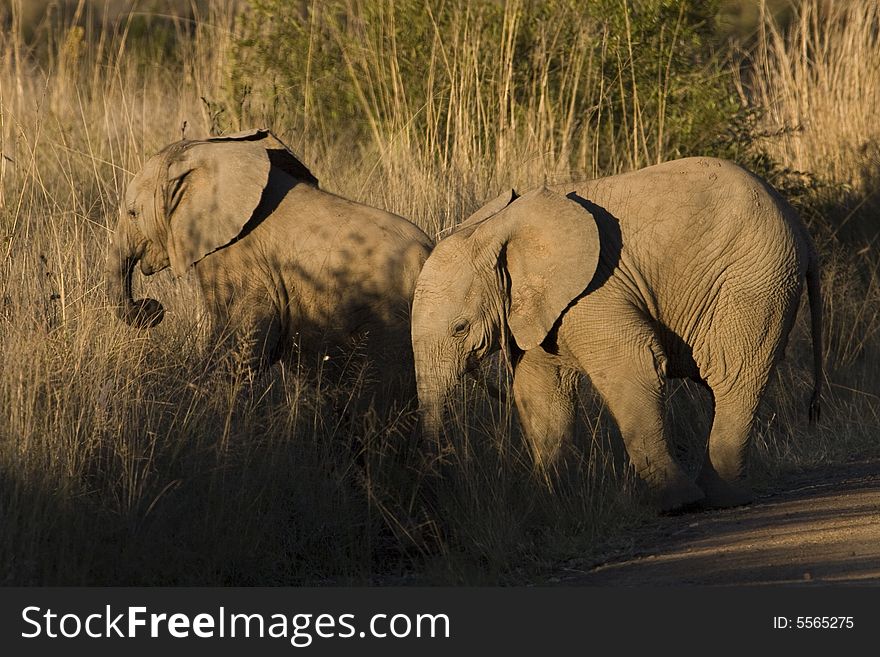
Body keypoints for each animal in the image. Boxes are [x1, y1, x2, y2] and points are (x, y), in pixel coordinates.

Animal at [105, 127, 434, 404]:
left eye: (133, 213)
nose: (151, 308)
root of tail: (428, 254)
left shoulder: (238, 259)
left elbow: (242, 338)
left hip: (389, 325)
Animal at [412, 156, 824, 510]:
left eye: (460, 328)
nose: (441, 483)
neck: (489, 229)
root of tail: (798, 223)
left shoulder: (593, 291)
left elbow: (634, 367)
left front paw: (677, 503)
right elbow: (539, 391)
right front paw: (555, 503)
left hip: (754, 280)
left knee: (731, 374)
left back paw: (717, 500)